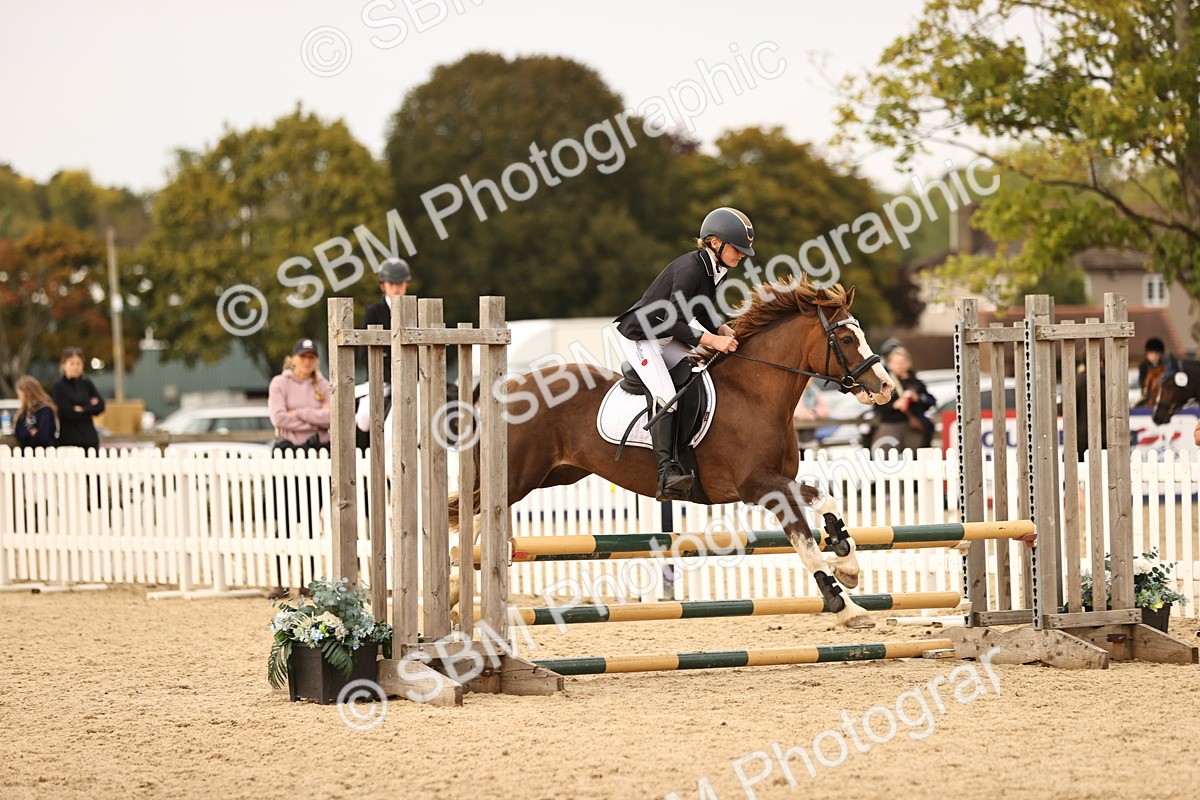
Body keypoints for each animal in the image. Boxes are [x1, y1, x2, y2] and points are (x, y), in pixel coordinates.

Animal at [450, 278, 896, 629]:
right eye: (846, 339)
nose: (887, 387)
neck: (756, 391)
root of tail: (505, 388)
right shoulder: (759, 486)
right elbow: (811, 531)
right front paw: (845, 603)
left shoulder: (777, 485)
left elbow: (820, 510)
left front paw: (847, 565)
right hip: (517, 477)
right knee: (471, 517)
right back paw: (454, 593)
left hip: (552, 474)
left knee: (475, 515)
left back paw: (456, 597)